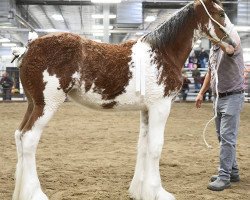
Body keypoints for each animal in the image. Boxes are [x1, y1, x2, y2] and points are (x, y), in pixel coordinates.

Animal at [13, 0, 238, 200]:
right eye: (220, 14)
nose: (235, 43)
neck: (163, 53)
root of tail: (29, 46)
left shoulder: (146, 110)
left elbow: (143, 146)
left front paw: (140, 191)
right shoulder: (161, 107)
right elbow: (156, 147)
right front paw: (158, 192)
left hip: (33, 104)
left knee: (19, 135)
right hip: (46, 105)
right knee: (29, 139)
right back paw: (35, 194)